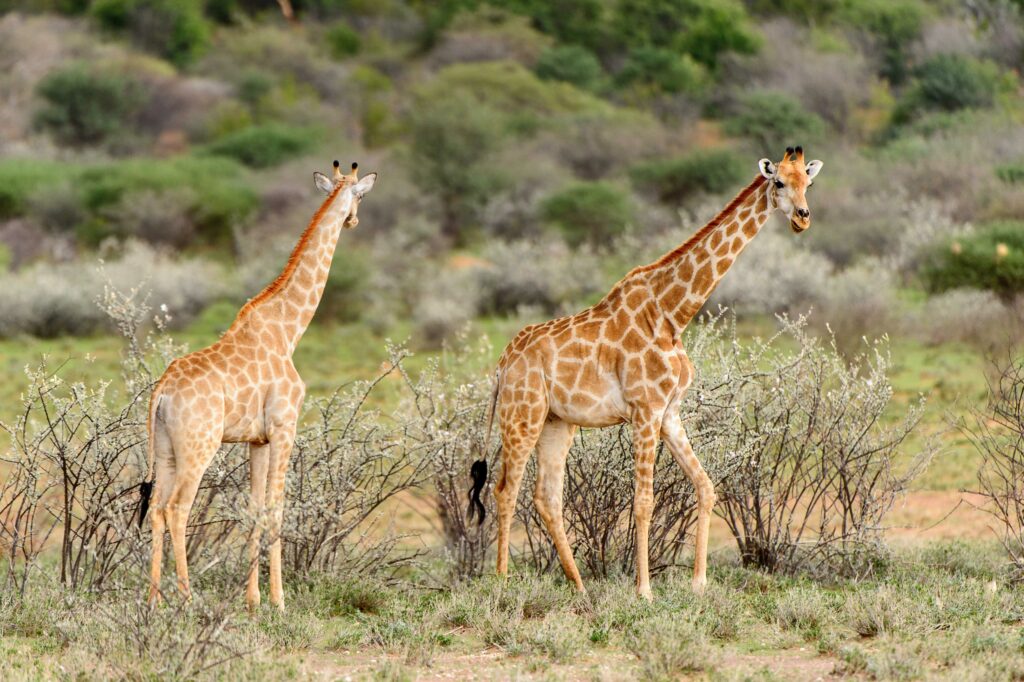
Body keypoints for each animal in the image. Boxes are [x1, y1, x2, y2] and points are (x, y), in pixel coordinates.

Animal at [137, 160, 376, 610]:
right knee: (178, 508)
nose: (354, 221)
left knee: (156, 507)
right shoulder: (284, 427)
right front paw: (279, 601)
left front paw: (253, 600)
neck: (288, 330)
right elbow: (277, 509)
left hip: (164, 447)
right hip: (199, 445)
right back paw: (188, 599)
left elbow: (254, 509)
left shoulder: (256, 439)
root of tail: (162, 392)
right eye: (359, 196)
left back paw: (154, 600)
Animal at [479, 146, 823, 598]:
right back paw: (502, 583)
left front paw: (699, 582)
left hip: (558, 422)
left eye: (809, 182)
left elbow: (706, 486)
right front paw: (644, 590)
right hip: (523, 414)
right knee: (505, 490)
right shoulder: (644, 410)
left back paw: (580, 587)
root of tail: (504, 363)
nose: (802, 217)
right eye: (779, 182)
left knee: (546, 497)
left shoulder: (669, 411)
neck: (673, 313)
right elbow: (644, 501)